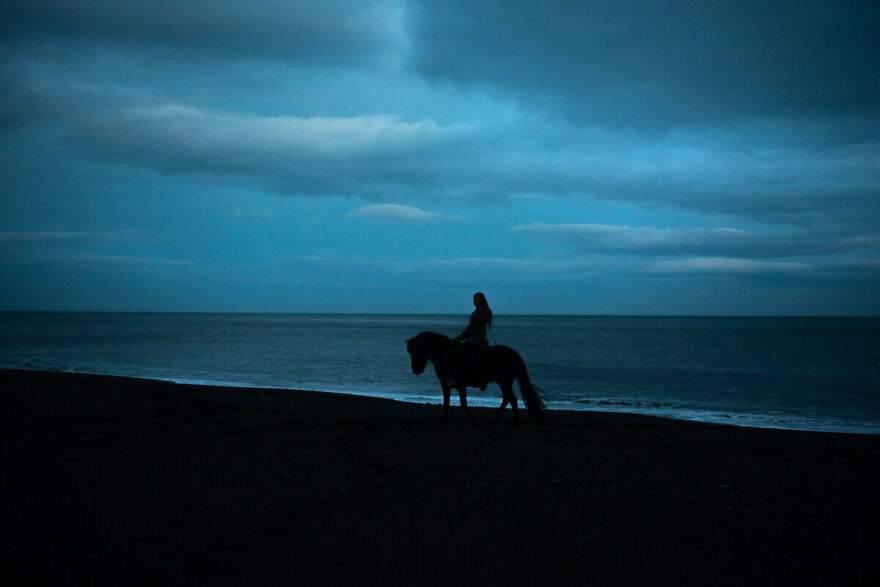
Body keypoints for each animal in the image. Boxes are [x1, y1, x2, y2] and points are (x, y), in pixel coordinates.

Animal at [405, 331, 545, 428]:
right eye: (410, 352)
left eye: (417, 351)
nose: (416, 370)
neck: (445, 354)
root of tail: (515, 355)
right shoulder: (447, 384)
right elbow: (447, 402)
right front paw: (444, 420)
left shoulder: (457, 384)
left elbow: (462, 404)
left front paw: (475, 422)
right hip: (503, 382)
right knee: (508, 399)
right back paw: (496, 421)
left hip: (504, 382)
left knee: (512, 399)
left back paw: (513, 424)